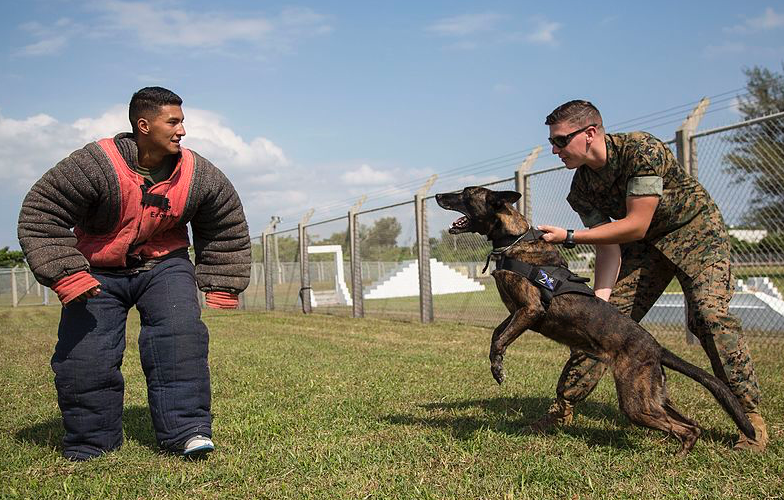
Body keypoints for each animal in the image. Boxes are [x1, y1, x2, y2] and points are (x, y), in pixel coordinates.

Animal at [434, 186, 752, 456]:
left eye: (465, 193)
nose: (438, 195)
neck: (513, 240)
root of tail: (656, 347)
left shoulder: (530, 310)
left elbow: (500, 339)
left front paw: (497, 368)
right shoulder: (516, 313)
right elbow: (496, 334)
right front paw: (495, 363)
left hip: (636, 402)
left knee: (683, 428)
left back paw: (679, 457)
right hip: (654, 396)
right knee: (692, 425)